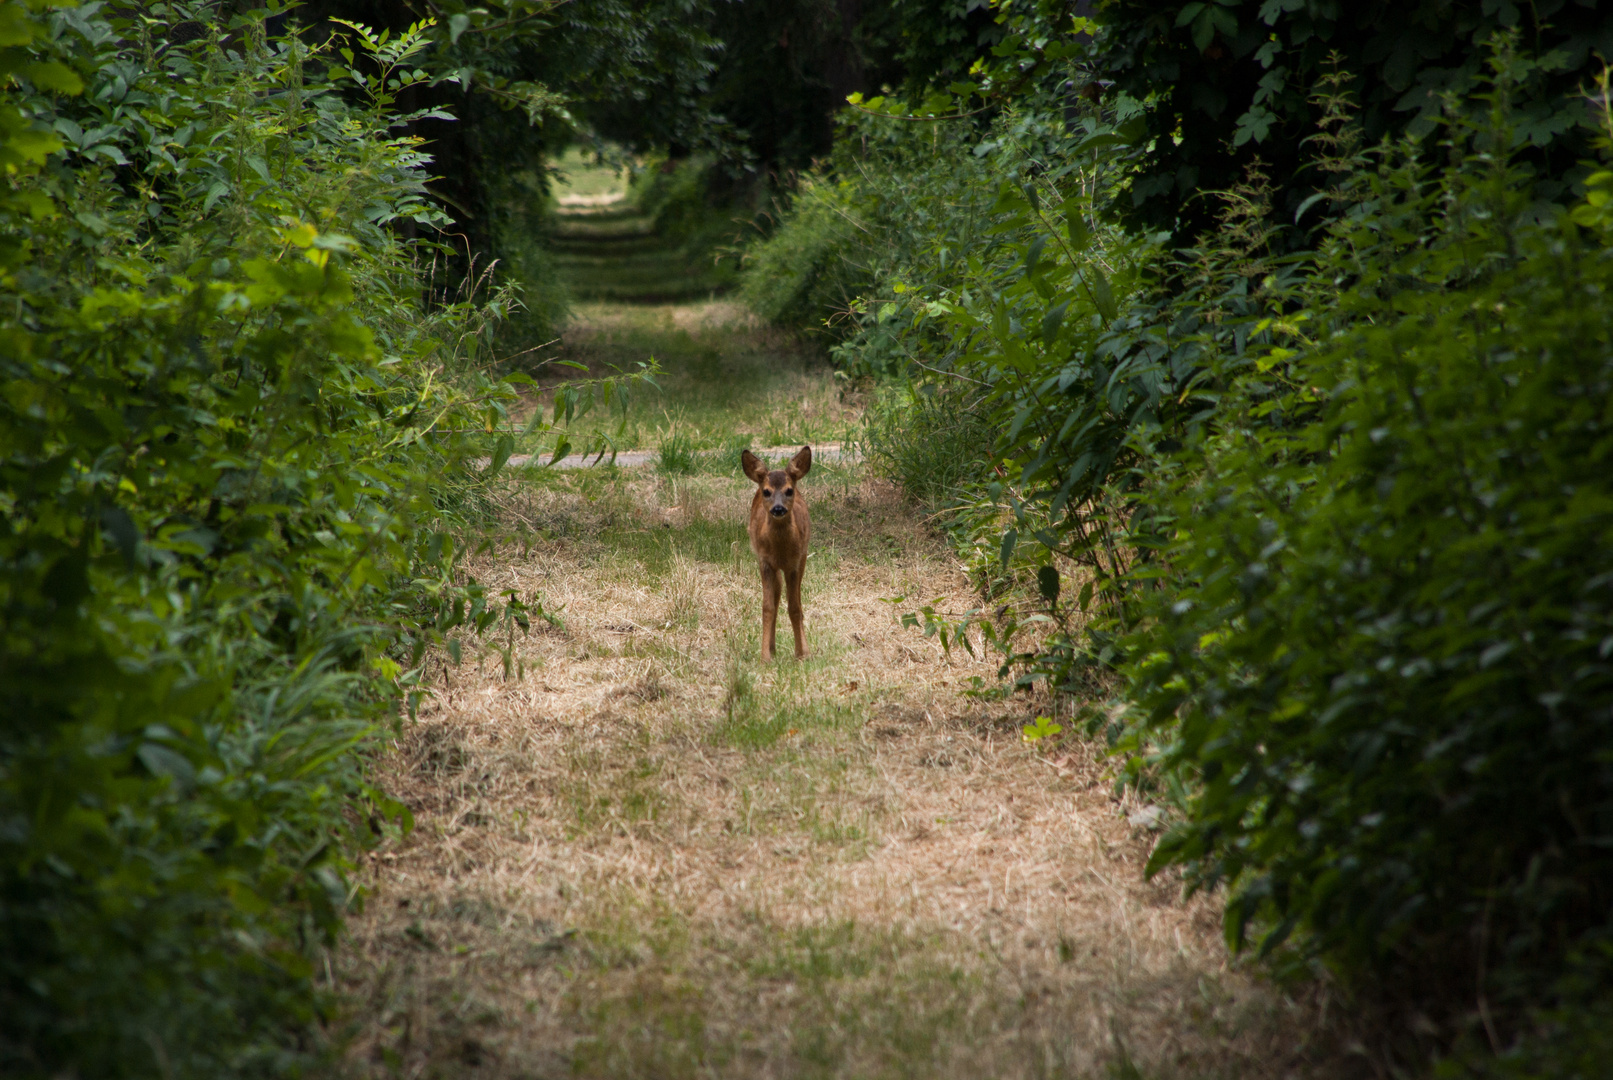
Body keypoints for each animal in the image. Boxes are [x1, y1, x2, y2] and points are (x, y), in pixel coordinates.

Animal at [738, 444, 806, 660]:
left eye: (789, 490)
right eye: (766, 491)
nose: (778, 508)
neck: (781, 551)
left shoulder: (794, 563)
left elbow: (794, 607)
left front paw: (802, 654)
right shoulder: (765, 562)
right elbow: (767, 607)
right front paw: (764, 657)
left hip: (802, 558)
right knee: (775, 598)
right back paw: (772, 648)